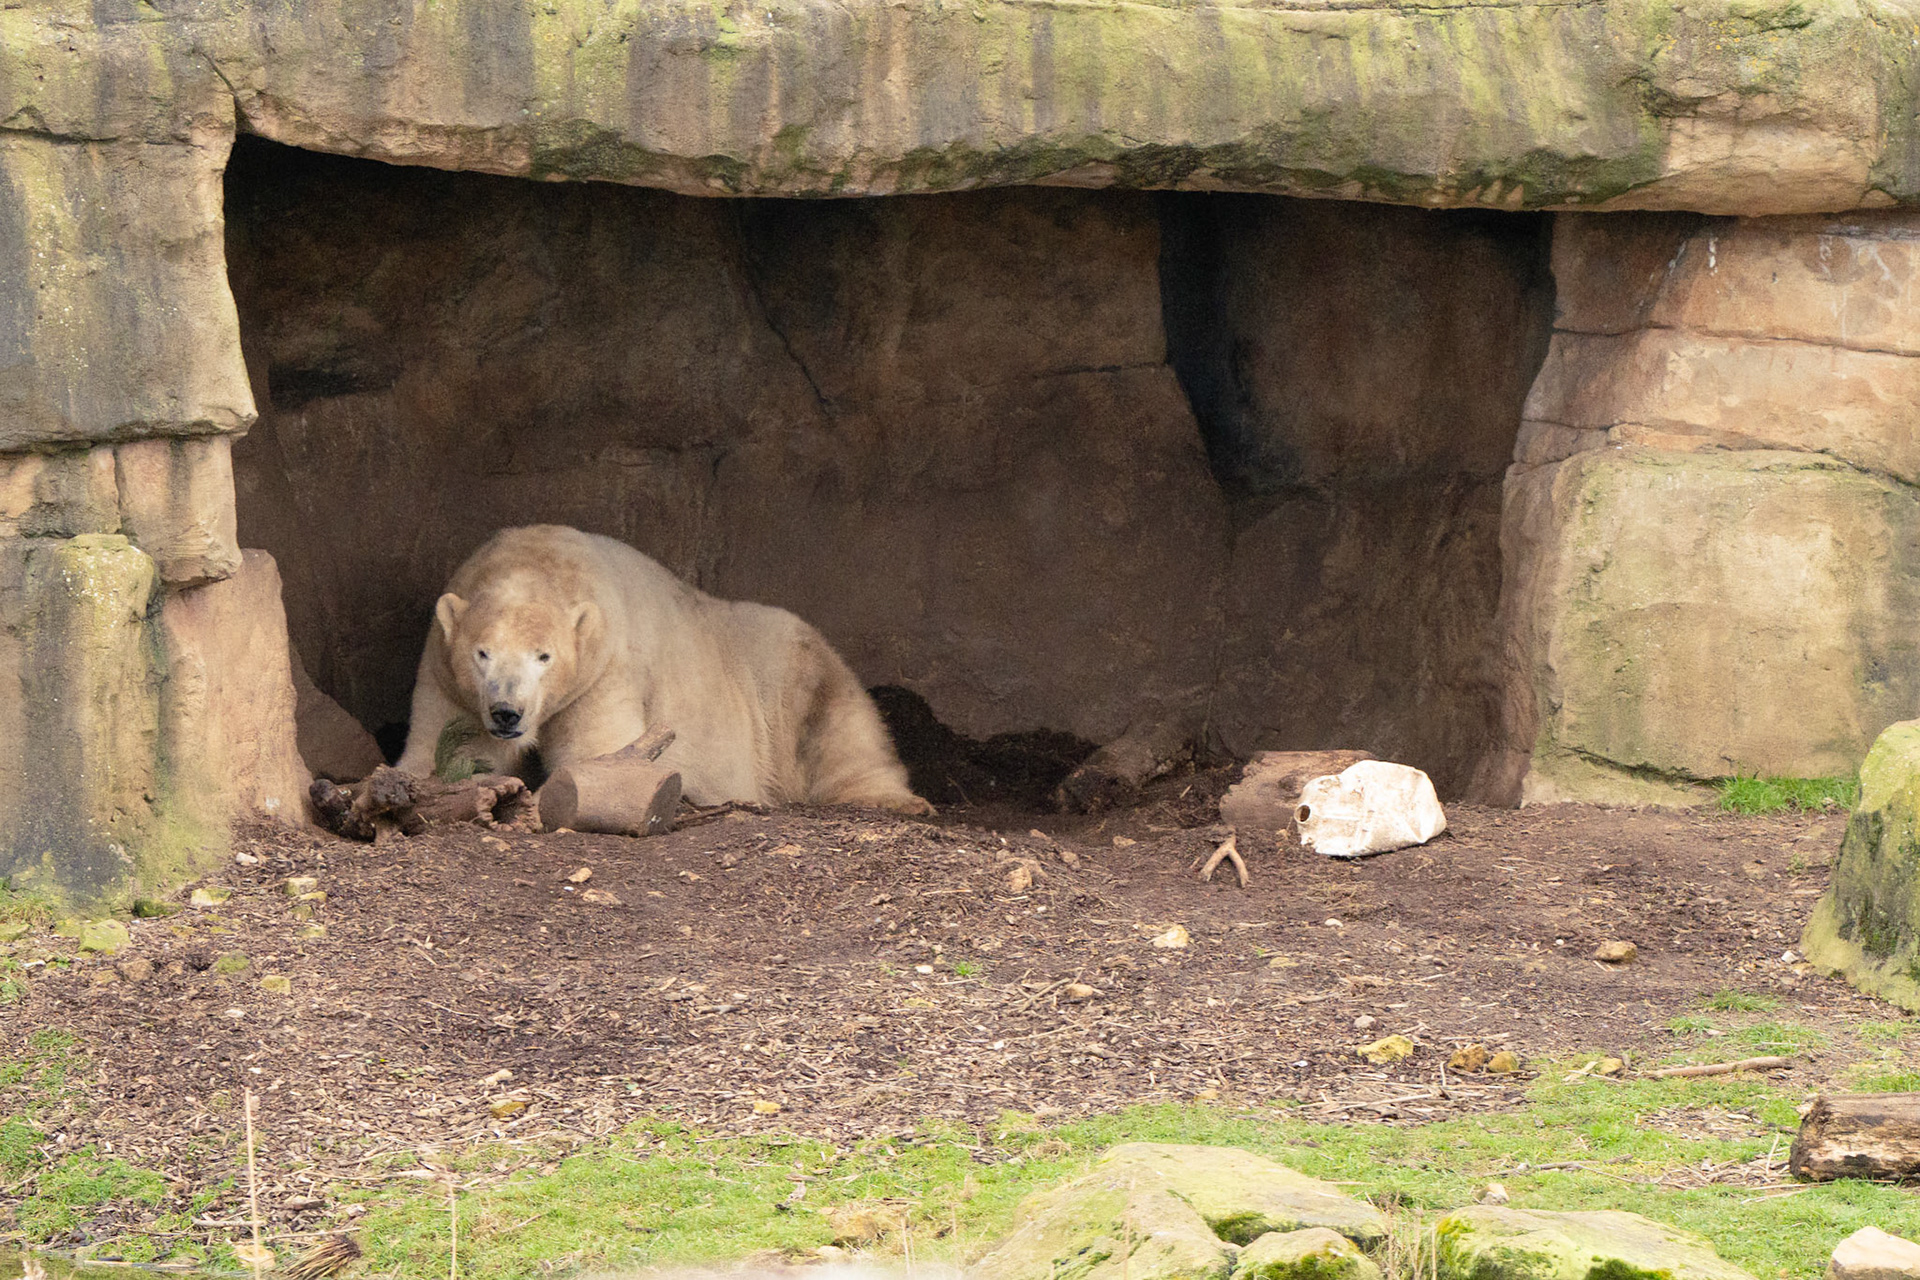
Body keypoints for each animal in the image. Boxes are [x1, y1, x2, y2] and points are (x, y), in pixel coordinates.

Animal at [393, 524, 932, 814]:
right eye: (482, 653)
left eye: (544, 656)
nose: (508, 712)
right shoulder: (448, 676)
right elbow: (450, 746)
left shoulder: (608, 667)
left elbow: (600, 752)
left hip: (784, 668)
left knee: (838, 725)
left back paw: (897, 799)